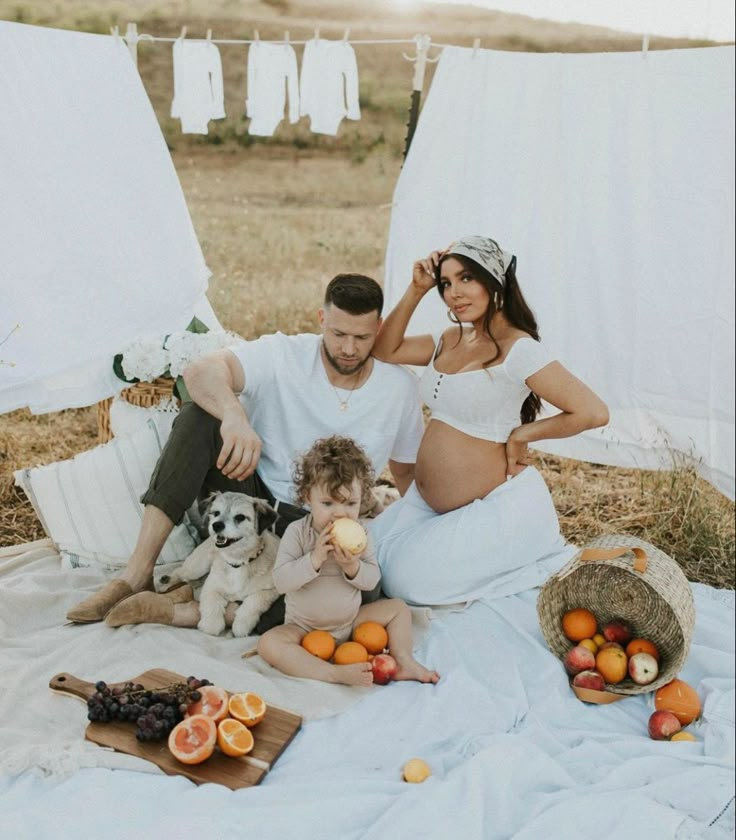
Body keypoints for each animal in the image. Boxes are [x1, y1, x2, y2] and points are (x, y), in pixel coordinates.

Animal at [157, 492, 280, 636]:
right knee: (180, 572)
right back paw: (166, 582)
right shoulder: (211, 586)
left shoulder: (272, 590)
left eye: (240, 517)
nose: (216, 525)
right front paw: (211, 624)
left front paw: (242, 624)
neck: (238, 562)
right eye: (216, 513)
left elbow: (254, 601)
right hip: (198, 567)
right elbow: (212, 603)